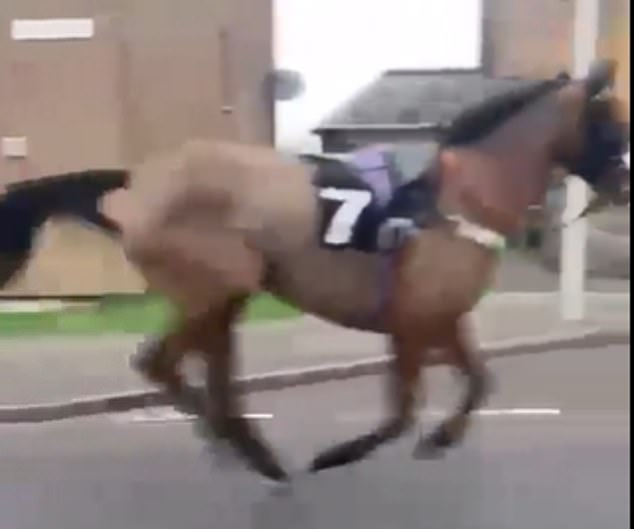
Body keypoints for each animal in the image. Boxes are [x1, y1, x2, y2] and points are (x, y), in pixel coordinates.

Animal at [0, 59, 624, 480]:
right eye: (607, 122)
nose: (623, 181)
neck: (458, 199)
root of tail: (136, 184)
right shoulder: (412, 323)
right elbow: (401, 411)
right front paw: (338, 454)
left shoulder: (442, 318)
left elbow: (478, 380)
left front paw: (442, 438)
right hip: (214, 289)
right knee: (161, 363)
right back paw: (244, 448)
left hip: (226, 297)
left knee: (203, 374)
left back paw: (242, 445)